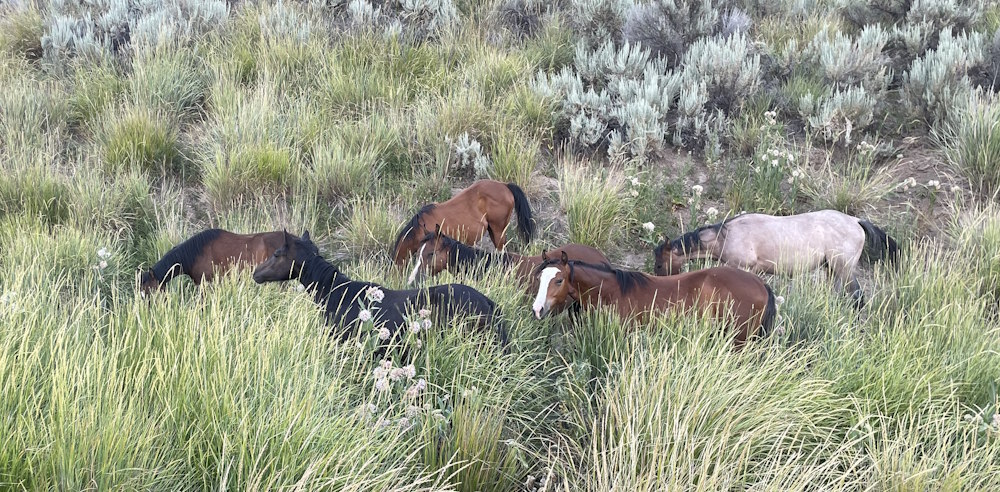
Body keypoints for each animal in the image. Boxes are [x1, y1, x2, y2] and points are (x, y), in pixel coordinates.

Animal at [652, 210, 899, 306]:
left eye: (659, 264)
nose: (659, 288)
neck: (727, 235)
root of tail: (856, 220)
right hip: (832, 270)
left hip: (844, 269)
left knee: (858, 298)